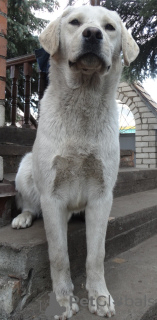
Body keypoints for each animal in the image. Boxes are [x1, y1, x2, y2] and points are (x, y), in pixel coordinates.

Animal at [12, 5, 140, 320]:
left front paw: (100, 296)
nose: (92, 34)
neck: (83, 99)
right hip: (25, 168)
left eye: (109, 28)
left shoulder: (101, 194)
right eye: (74, 22)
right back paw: (22, 217)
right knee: (29, 204)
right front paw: (63, 299)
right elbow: (59, 256)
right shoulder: (52, 195)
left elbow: (97, 255)